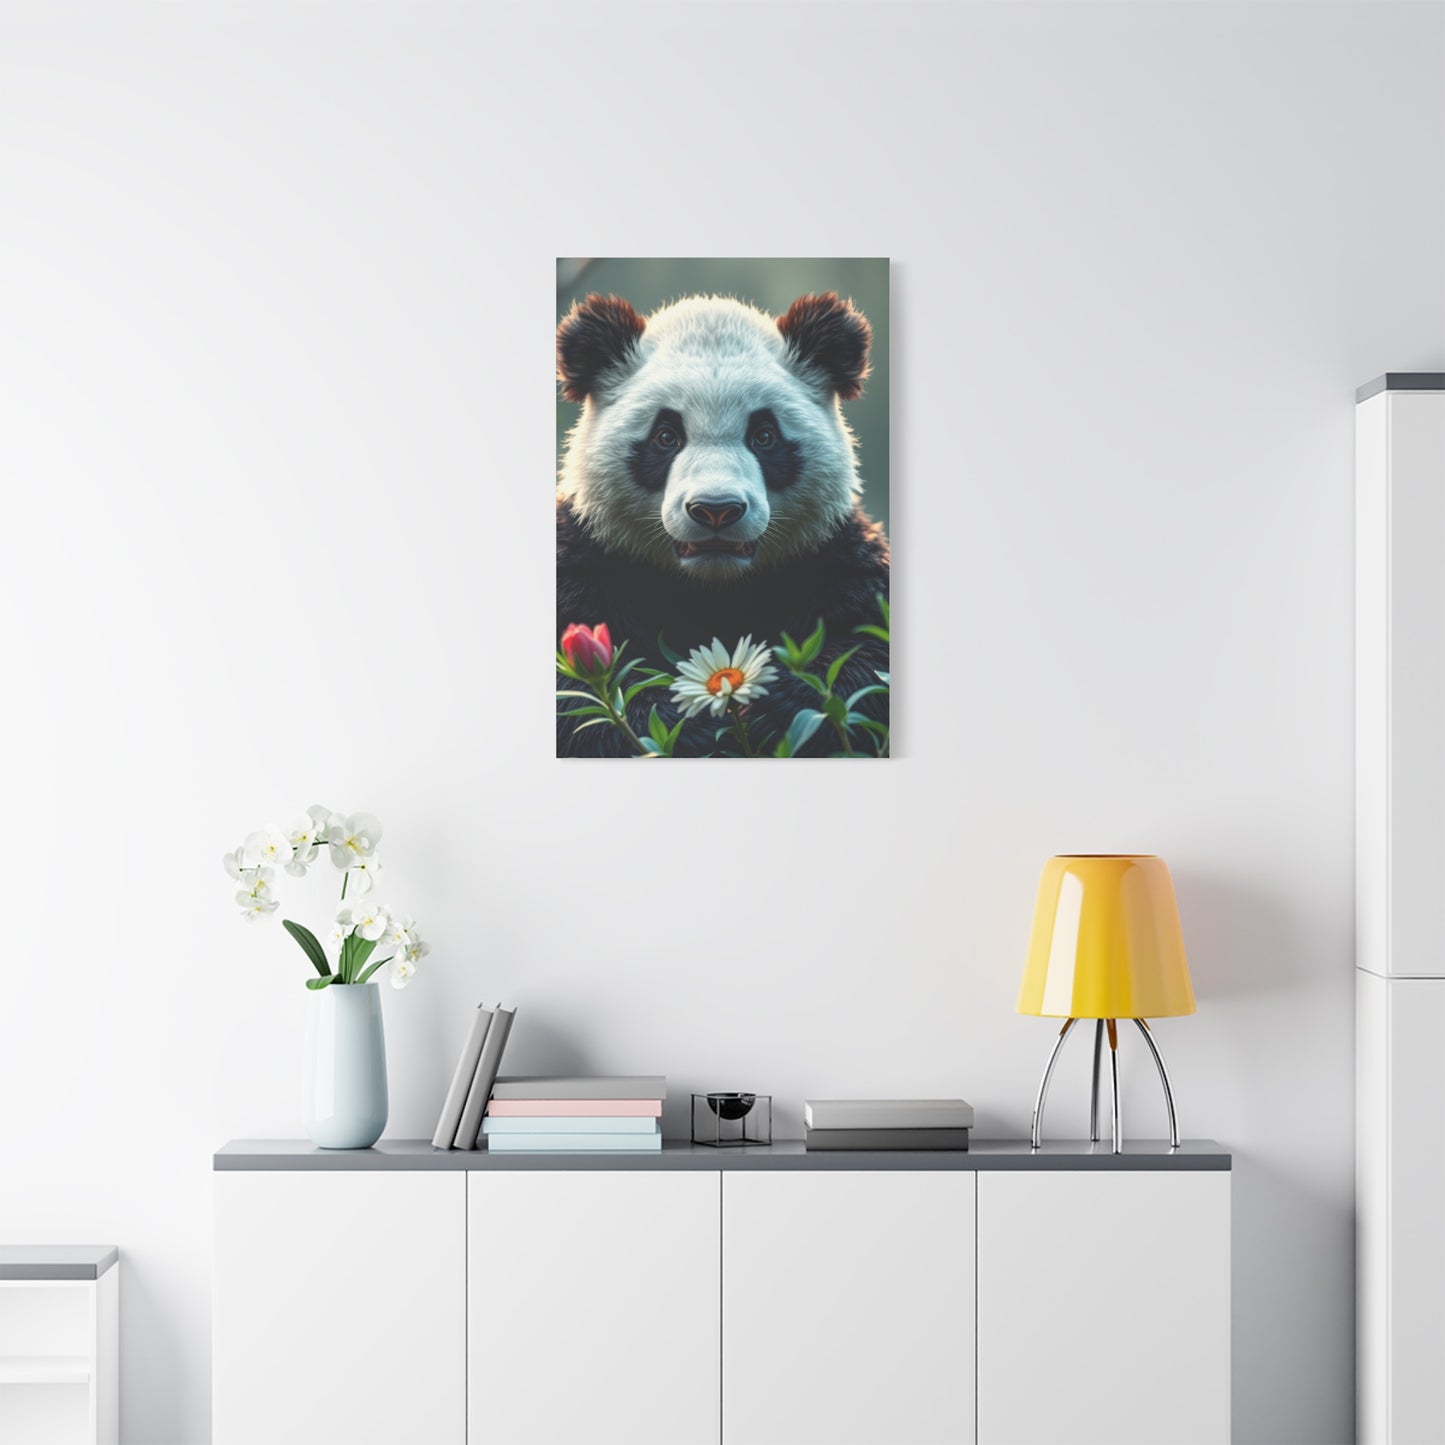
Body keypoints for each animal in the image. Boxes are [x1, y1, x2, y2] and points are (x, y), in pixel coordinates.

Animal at [556, 290, 889, 758]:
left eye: (764, 435)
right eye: (666, 436)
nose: (716, 509)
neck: (713, 588)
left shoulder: (832, 553)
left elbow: (871, 650)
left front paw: (776, 708)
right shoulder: (587, 557)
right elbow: (577, 699)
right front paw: (684, 720)